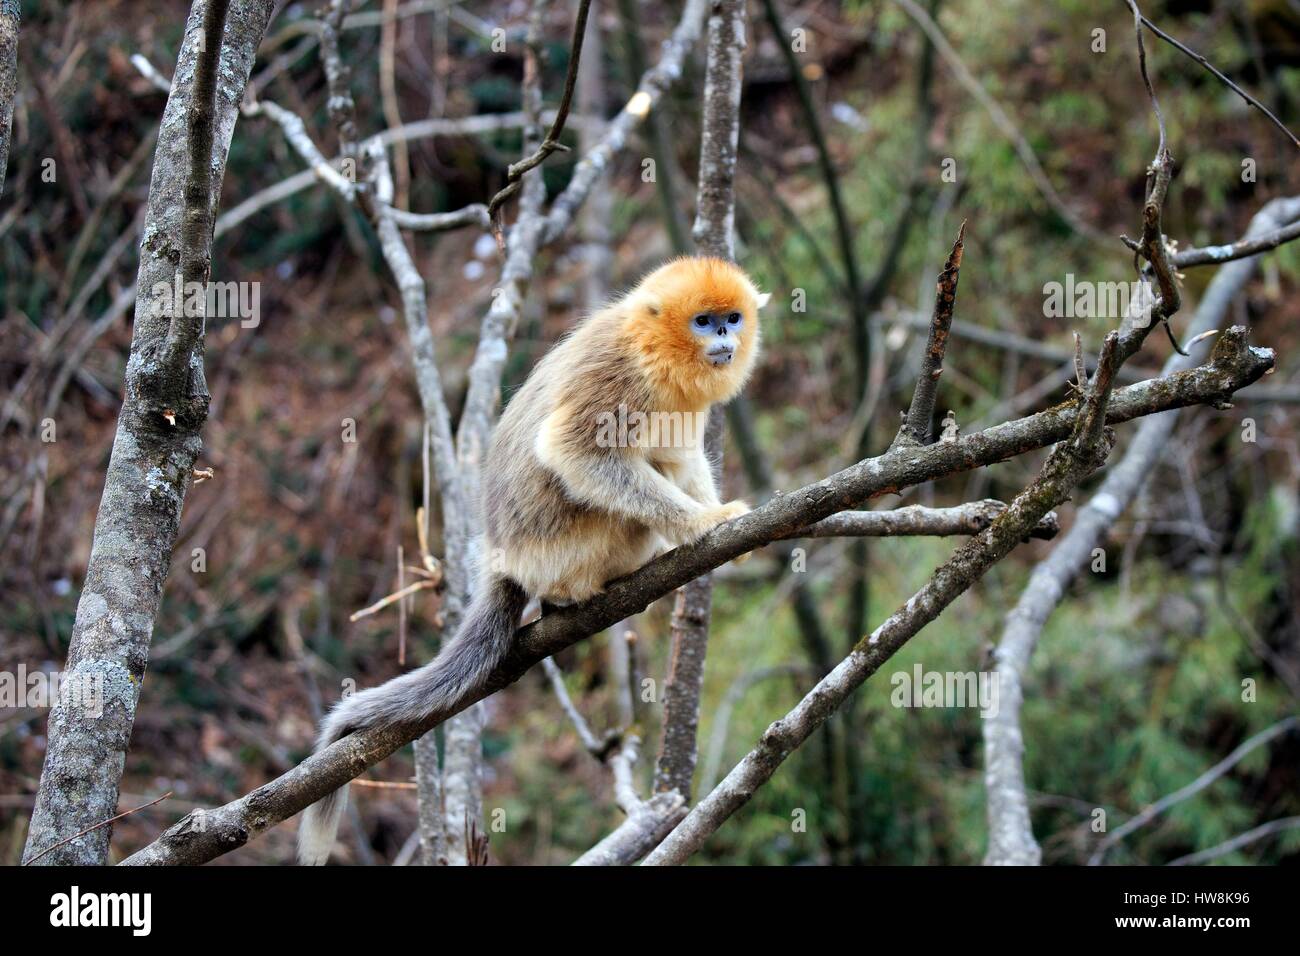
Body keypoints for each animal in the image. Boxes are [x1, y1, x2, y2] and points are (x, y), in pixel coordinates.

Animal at [297, 256, 767, 864]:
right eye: (704, 321)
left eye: (732, 318)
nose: (726, 338)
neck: (651, 348)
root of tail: (506, 562)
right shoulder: (619, 377)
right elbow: (575, 451)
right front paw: (702, 525)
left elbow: (681, 455)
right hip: (569, 547)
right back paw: (579, 590)